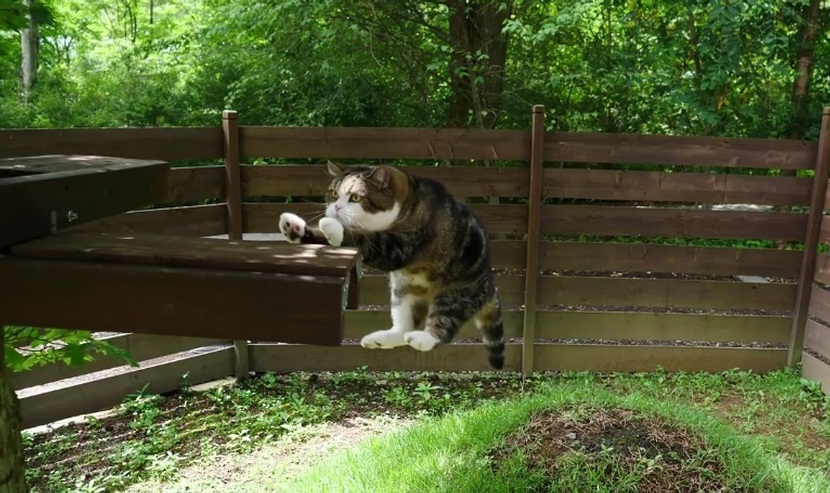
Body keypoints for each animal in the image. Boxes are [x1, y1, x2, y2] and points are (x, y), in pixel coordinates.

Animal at [280, 163, 508, 368]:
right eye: (334, 194)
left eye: (356, 197)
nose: (335, 208)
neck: (408, 204)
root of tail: (489, 283)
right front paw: (295, 228)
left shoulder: (400, 247)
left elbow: (363, 238)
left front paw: (333, 226)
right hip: (402, 290)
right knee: (404, 326)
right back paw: (382, 338)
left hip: (454, 293)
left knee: (443, 325)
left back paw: (424, 338)